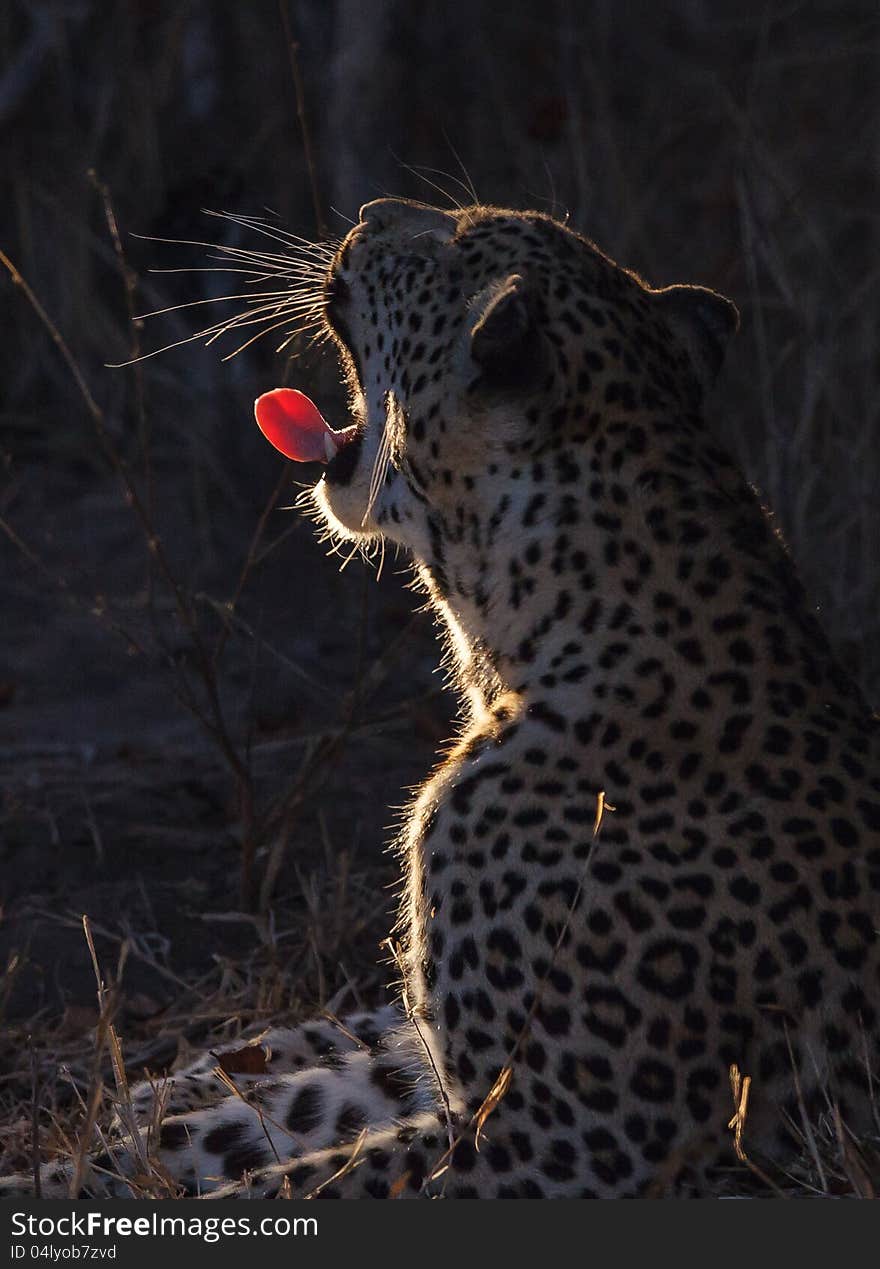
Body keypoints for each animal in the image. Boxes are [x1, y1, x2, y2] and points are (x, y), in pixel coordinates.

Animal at [3, 197, 873, 1197]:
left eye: (448, 241)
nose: (369, 213)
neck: (511, 650)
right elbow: (288, 1124)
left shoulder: (569, 1142)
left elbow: (311, 1181)